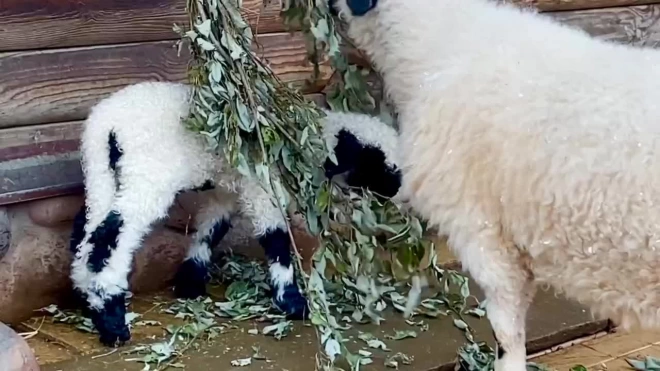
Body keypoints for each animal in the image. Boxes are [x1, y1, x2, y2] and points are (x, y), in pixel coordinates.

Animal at [69, 80, 400, 346]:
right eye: (377, 165)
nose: (395, 192)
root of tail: (106, 125)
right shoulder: (264, 187)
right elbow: (276, 239)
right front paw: (292, 302)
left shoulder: (227, 189)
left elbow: (211, 229)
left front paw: (189, 282)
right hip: (146, 177)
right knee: (110, 237)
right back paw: (112, 322)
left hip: (102, 175)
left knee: (85, 232)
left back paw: (89, 301)